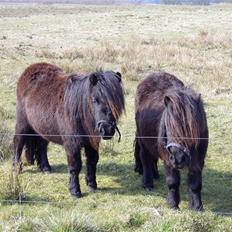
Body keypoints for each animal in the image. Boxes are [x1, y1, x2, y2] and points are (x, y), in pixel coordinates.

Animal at [12, 63, 125, 198]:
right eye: (94, 99)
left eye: (117, 102)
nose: (107, 129)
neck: (80, 111)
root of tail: (30, 69)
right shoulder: (72, 144)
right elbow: (75, 166)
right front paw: (75, 190)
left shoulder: (92, 142)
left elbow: (92, 161)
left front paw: (92, 184)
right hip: (23, 123)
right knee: (18, 143)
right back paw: (16, 168)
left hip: (43, 127)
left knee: (42, 145)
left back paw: (45, 168)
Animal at [134, 72, 208, 210]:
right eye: (168, 126)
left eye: (191, 128)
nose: (178, 159)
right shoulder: (168, 159)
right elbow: (172, 182)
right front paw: (173, 204)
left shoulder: (199, 160)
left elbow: (195, 184)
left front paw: (197, 206)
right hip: (143, 139)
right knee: (145, 158)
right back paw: (148, 183)